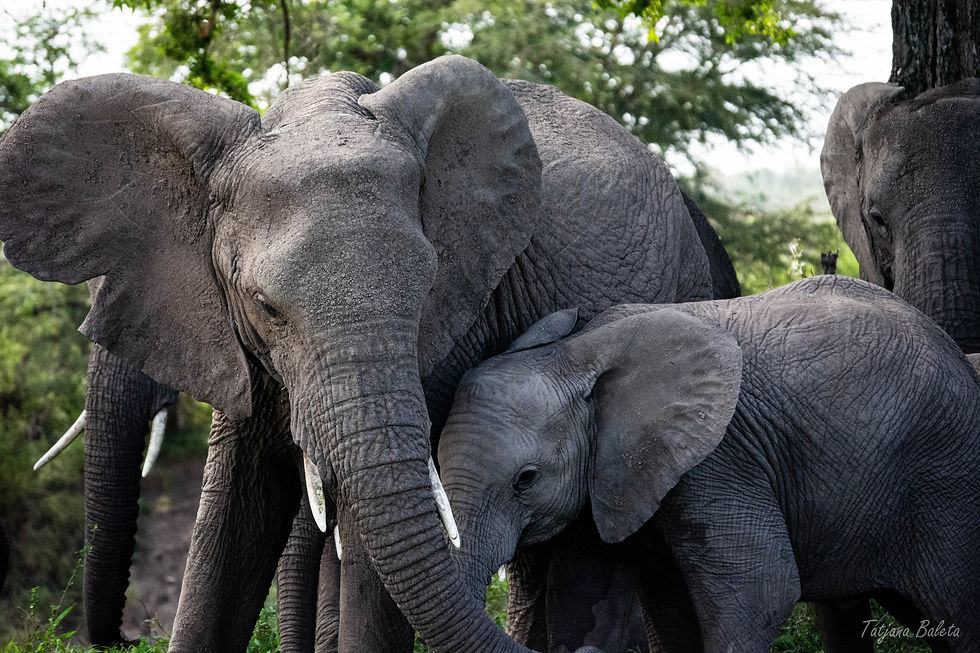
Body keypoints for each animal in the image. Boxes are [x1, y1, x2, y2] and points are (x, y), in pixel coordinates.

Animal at [438, 275, 980, 653]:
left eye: (525, 481)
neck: (573, 351)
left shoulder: (719, 459)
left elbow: (762, 589)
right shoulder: (609, 475)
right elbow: (587, 594)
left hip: (945, 481)